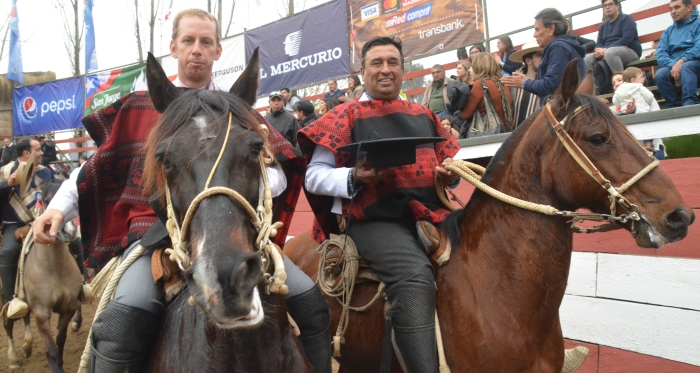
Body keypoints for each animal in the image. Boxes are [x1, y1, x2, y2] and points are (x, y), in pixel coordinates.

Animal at [4, 179, 83, 370]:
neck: (54, 268)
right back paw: (13, 358)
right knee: (8, 323)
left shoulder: (68, 307)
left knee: (24, 316)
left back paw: (27, 346)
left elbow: (60, 341)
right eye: (47, 200)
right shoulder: (41, 313)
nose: (69, 231)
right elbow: (51, 350)